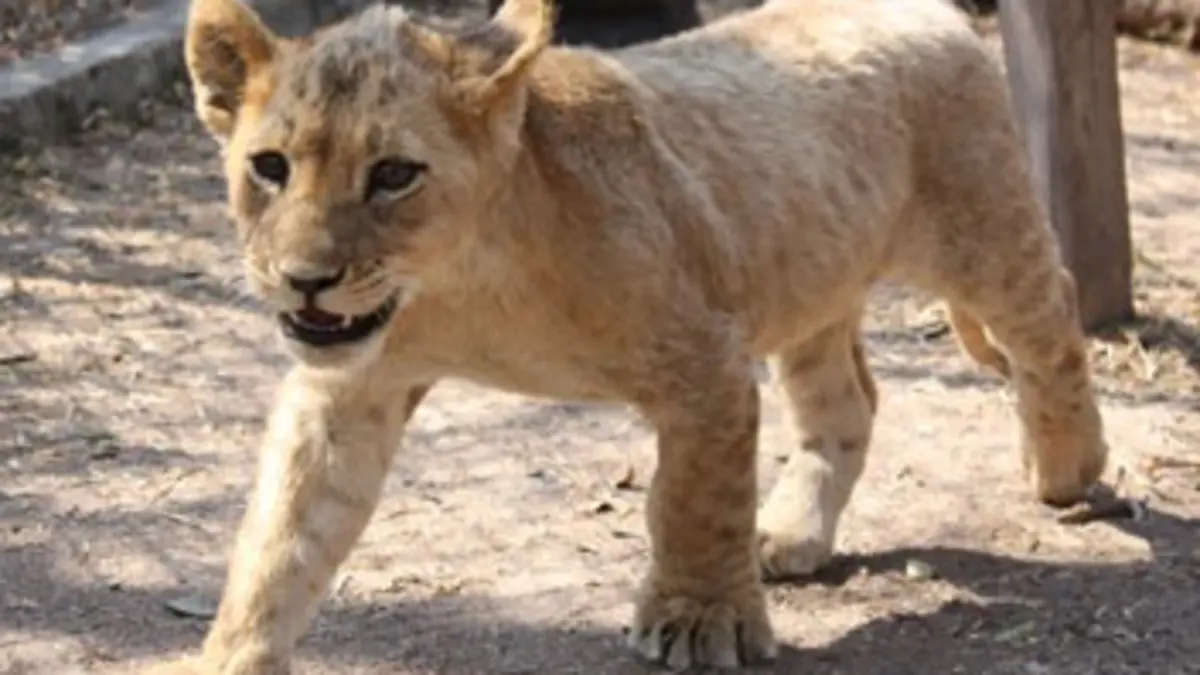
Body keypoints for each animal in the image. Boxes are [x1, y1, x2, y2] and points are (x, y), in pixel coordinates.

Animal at [147, 0, 1109, 670]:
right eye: (269, 167)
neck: (464, 282)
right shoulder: (350, 386)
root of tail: (925, 12)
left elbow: (690, 501)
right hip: (806, 276)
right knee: (847, 402)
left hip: (982, 234)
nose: (303, 277)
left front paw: (699, 619)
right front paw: (232, 654)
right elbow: (284, 537)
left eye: (393, 175)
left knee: (1050, 328)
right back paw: (791, 533)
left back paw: (1067, 468)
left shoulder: (706, 359)